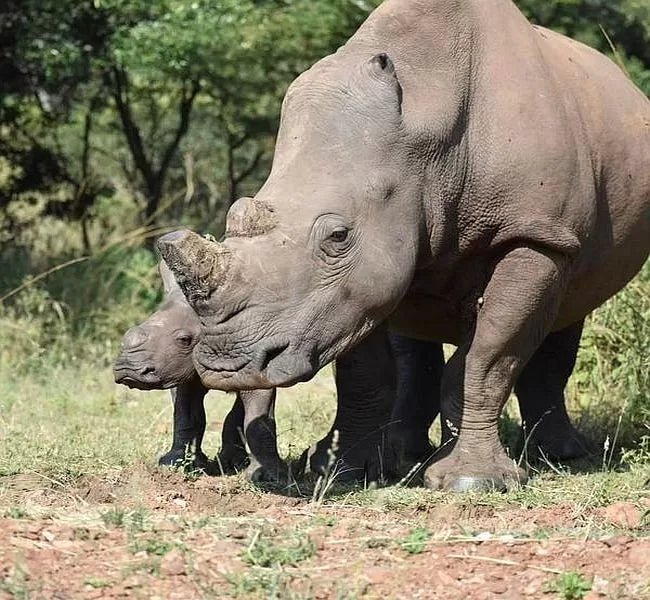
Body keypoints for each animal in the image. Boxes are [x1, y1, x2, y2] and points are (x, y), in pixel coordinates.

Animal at [158, 0, 649, 492]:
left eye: (338, 237)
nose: (226, 364)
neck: (426, 140)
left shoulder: (535, 234)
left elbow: (488, 357)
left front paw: (472, 482)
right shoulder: (352, 287)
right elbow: (364, 373)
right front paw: (345, 473)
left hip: (563, 231)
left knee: (567, 311)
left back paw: (562, 456)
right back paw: (400, 458)